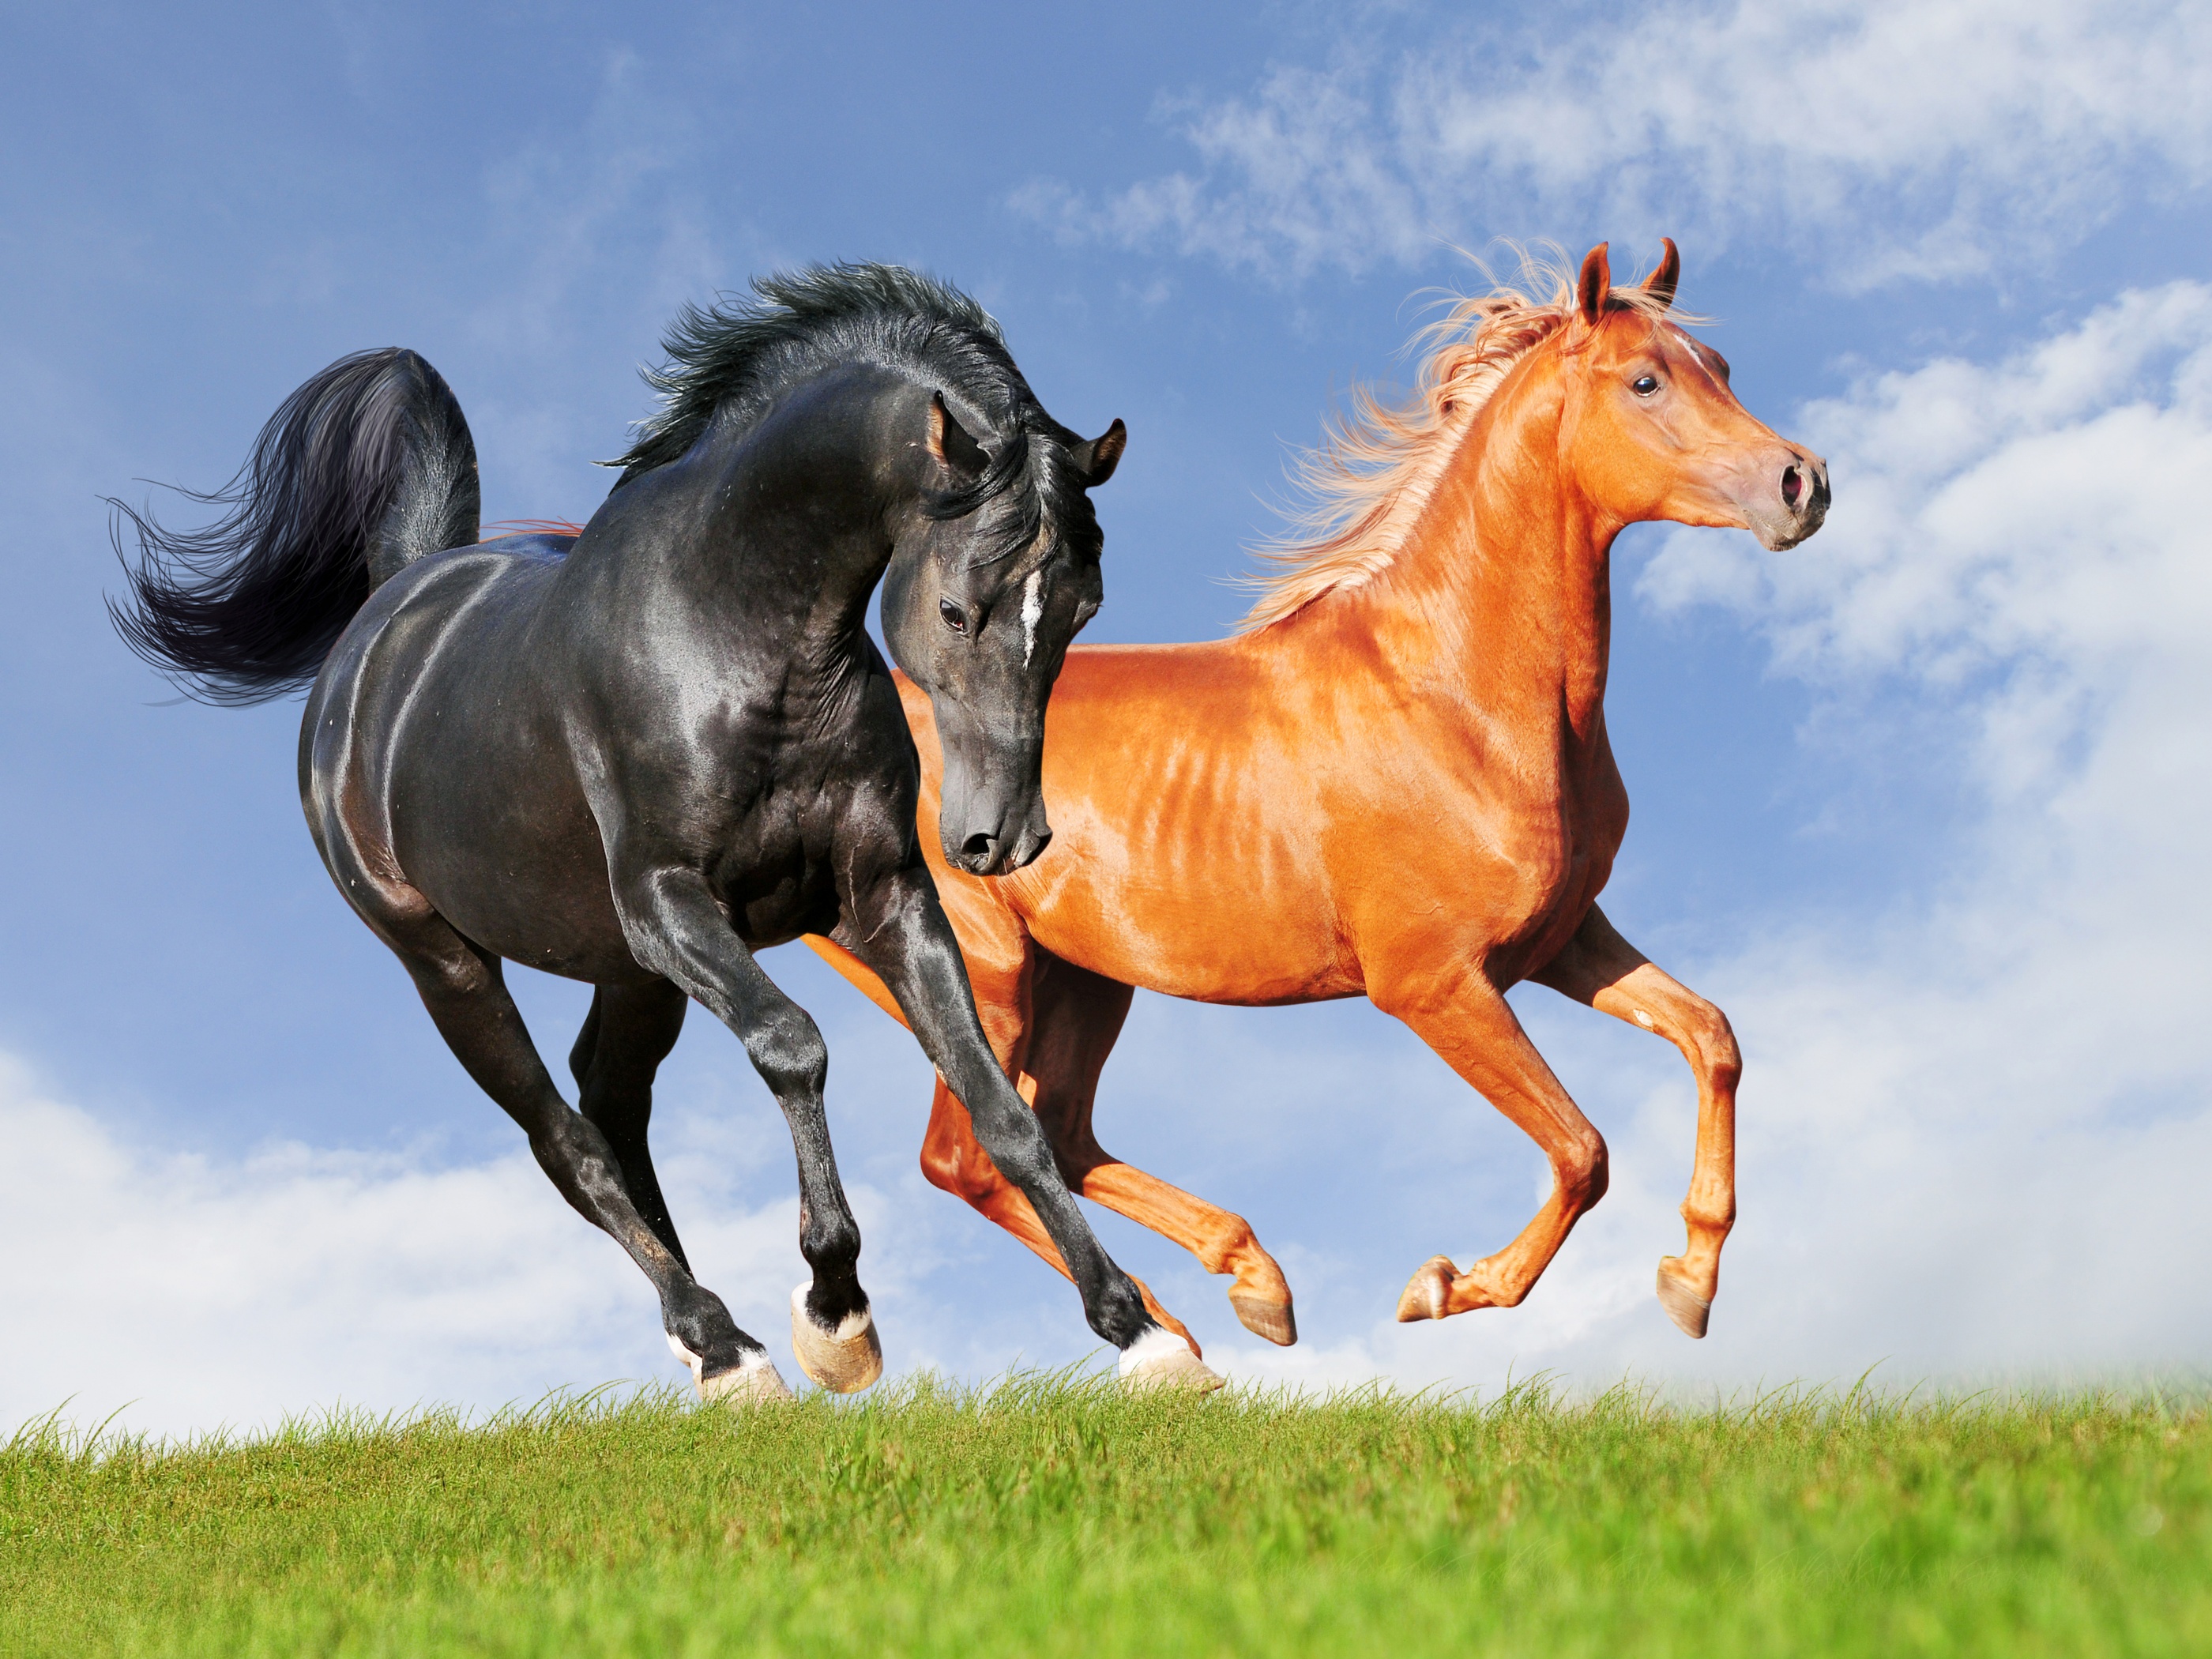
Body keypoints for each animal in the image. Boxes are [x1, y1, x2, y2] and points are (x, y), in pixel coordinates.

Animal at [116, 269, 1212, 1406]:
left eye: (1084, 607)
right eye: (957, 609)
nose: (1004, 839)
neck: (738, 639)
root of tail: (387, 621)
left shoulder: (883, 897)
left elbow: (1000, 1103)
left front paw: (1142, 1333)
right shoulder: (669, 903)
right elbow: (793, 1047)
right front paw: (836, 1318)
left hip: (626, 970)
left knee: (608, 1104)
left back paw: (714, 1344)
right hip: (447, 963)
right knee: (564, 1137)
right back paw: (724, 1343)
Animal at [805, 250, 1823, 1362]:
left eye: (1717, 366)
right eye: (1644, 381)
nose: (1801, 483)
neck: (1454, 695)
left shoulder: (1559, 940)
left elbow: (1711, 1037)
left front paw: (1690, 1279)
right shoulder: (1433, 986)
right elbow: (1581, 1150)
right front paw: (1445, 1286)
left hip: (1084, 980)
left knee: (1061, 1136)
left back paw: (1244, 1288)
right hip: (983, 975)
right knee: (976, 1156)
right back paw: (1168, 1336)